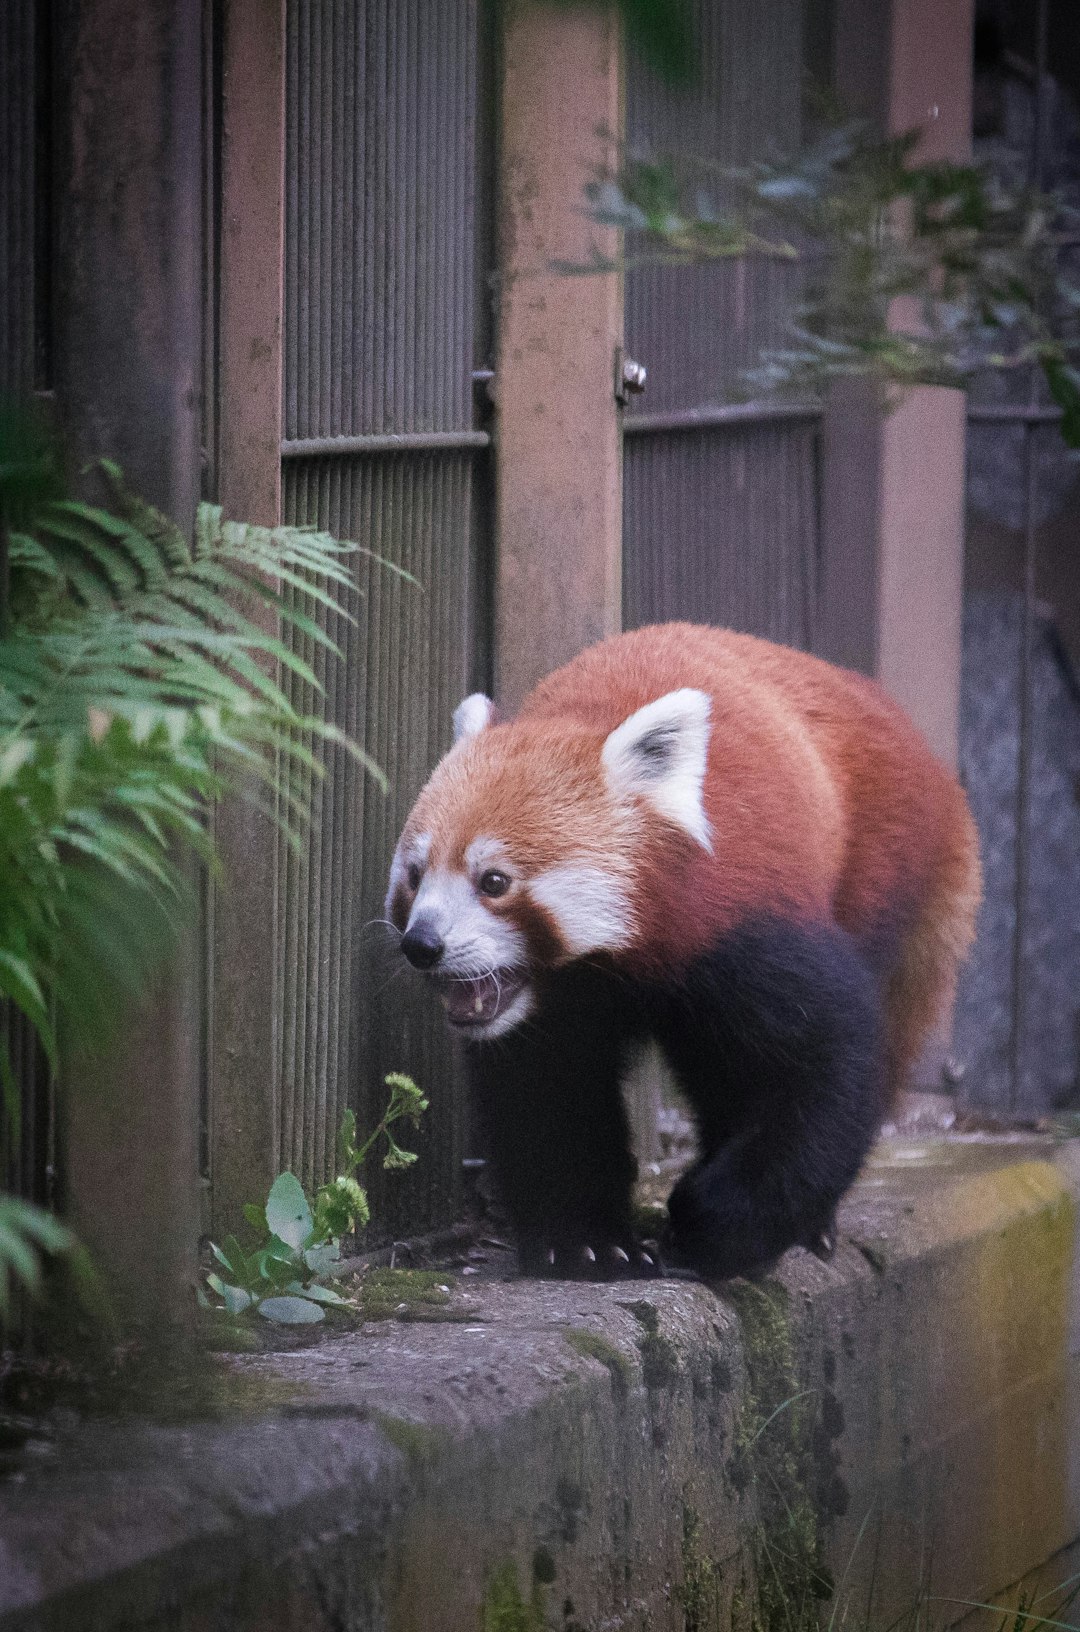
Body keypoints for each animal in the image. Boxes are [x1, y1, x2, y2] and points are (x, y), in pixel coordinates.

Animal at [386, 616, 978, 1279]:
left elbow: (821, 1066)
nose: (421, 944)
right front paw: (588, 1243)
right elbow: (549, 1096)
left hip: (889, 872)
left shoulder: (742, 924)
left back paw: (811, 1222)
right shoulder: (552, 1015)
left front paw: (714, 1225)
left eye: (493, 881)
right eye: (416, 875)